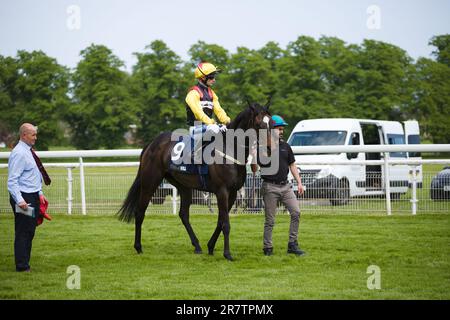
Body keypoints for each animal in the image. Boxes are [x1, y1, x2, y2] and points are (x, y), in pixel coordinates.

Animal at [117, 102, 270, 260]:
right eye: (258, 123)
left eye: (269, 122)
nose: (268, 146)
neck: (229, 150)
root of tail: (151, 144)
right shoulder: (222, 191)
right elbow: (225, 224)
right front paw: (227, 254)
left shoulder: (232, 192)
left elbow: (220, 221)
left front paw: (210, 246)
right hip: (150, 181)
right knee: (139, 211)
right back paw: (138, 247)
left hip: (183, 186)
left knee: (183, 214)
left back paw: (197, 245)